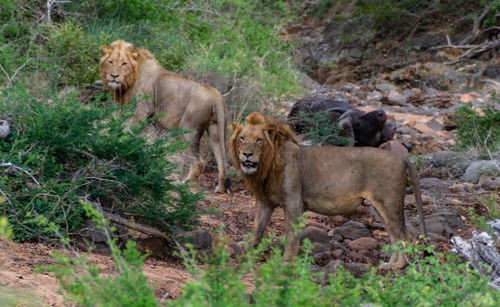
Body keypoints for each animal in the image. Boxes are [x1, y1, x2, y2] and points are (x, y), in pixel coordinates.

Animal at [100, 39, 232, 194]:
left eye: (124, 64)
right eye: (110, 62)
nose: (114, 76)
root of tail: (216, 95)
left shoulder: (143, 110)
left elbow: (129, 130)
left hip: (188, 129)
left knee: (199, 163)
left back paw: (184, 185)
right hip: (215, 130)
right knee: (222, 161)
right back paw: (220, 188)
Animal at [229, 112, 428, 268]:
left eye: (259, 140)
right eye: (242, 139)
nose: (247, 154)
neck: (266, 166)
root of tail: (401, 157)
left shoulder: (294, 202)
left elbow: (291, 236)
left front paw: (286, 262)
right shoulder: (265, 201)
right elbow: (257, 230)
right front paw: (247, 254)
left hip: (389, 203)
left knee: (405, 235)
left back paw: (398, 267)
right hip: (379, 208)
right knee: (395, 236)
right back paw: (390, 264)